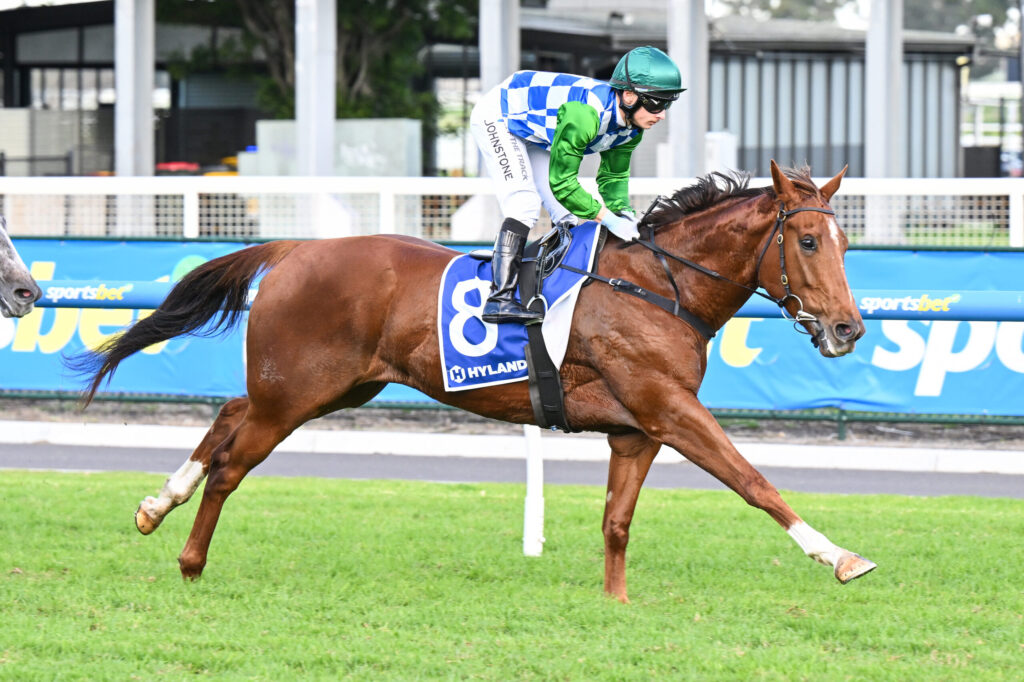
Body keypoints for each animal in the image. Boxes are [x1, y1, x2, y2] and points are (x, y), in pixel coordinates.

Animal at [71, 161, 876, 602]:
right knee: (233, 463)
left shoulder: (635, 430)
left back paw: (155, 504)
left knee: (228, 415)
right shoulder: (670, 408)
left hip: (322, 387)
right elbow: (754, 481)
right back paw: (190, 560)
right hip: (297, 392)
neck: (658, 286)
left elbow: (616, 523)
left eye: (844, 243)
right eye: (808, 240)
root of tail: (296, 247)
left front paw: (615, 604)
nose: (848, 328)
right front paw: (841, 557)